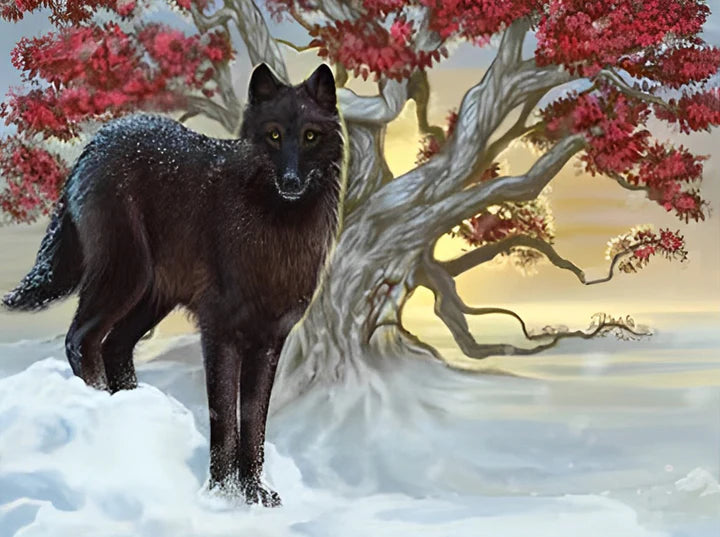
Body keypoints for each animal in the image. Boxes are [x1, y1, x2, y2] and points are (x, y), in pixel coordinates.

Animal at [2, 63, 345, 506]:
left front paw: (253, 493)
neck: (275, 230)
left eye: (310, 136)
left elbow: (254, 423)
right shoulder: (219, 333)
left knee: (114, 346)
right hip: (124, 280)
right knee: (80, 339)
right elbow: (224, 419)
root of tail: (98, 141)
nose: (289, 181)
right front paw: (222, 494)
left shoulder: (269, 342)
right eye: (273, 135)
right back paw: (101, 407)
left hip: (150, 300)